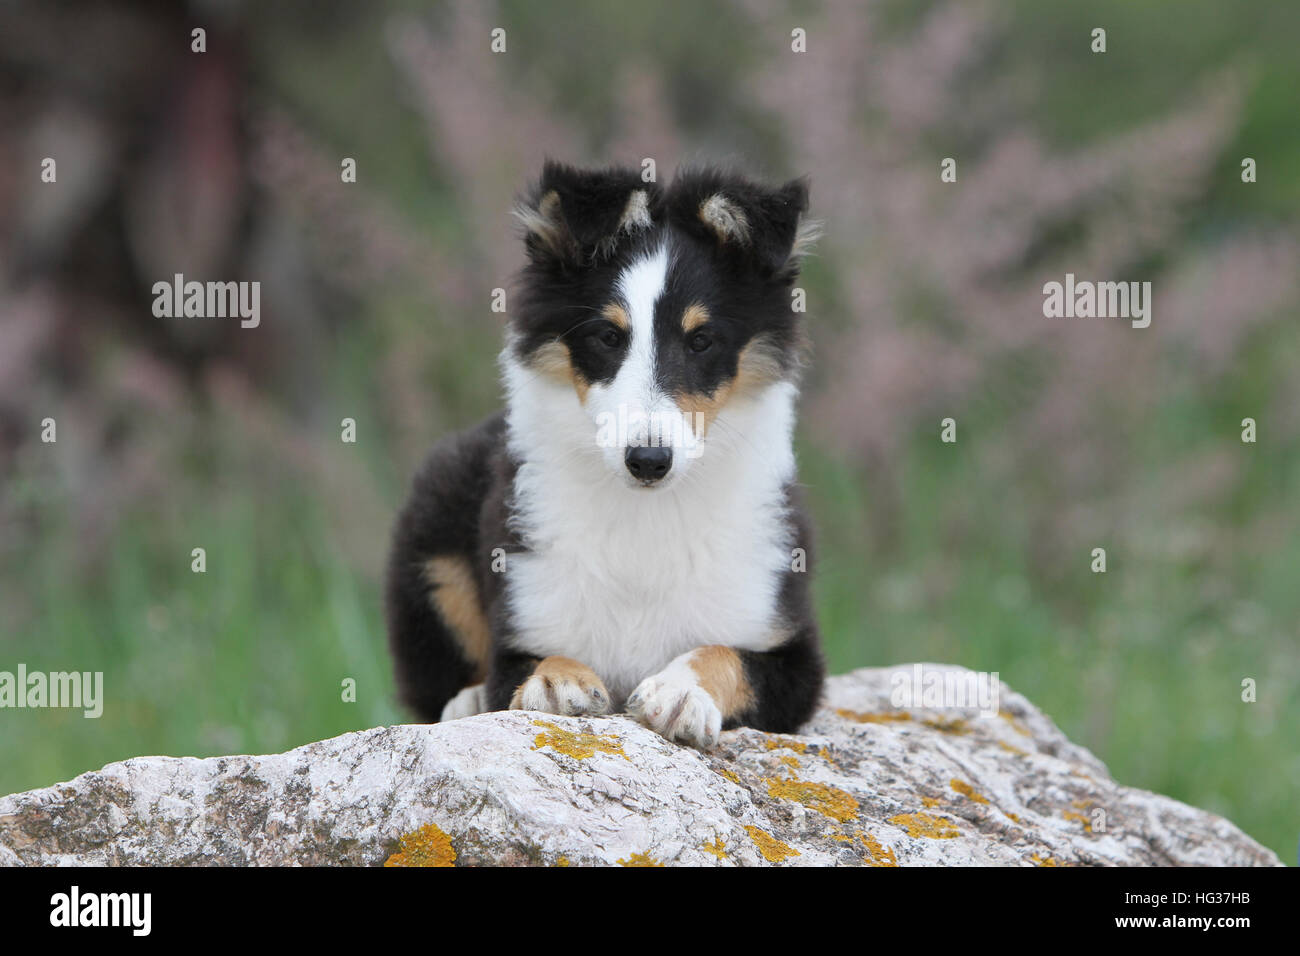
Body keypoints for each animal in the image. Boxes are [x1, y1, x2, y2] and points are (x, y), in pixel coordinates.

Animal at [384, 162, 826, 749]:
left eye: (702, 341)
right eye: (608, 337)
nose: (648, 460)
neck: (645, 514)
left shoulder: (792, 653)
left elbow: (726, 653)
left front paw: (680, 691)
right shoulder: (521, 621)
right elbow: (530, 661)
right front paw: (556, 681)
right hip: (434, 527)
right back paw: (466, 701)